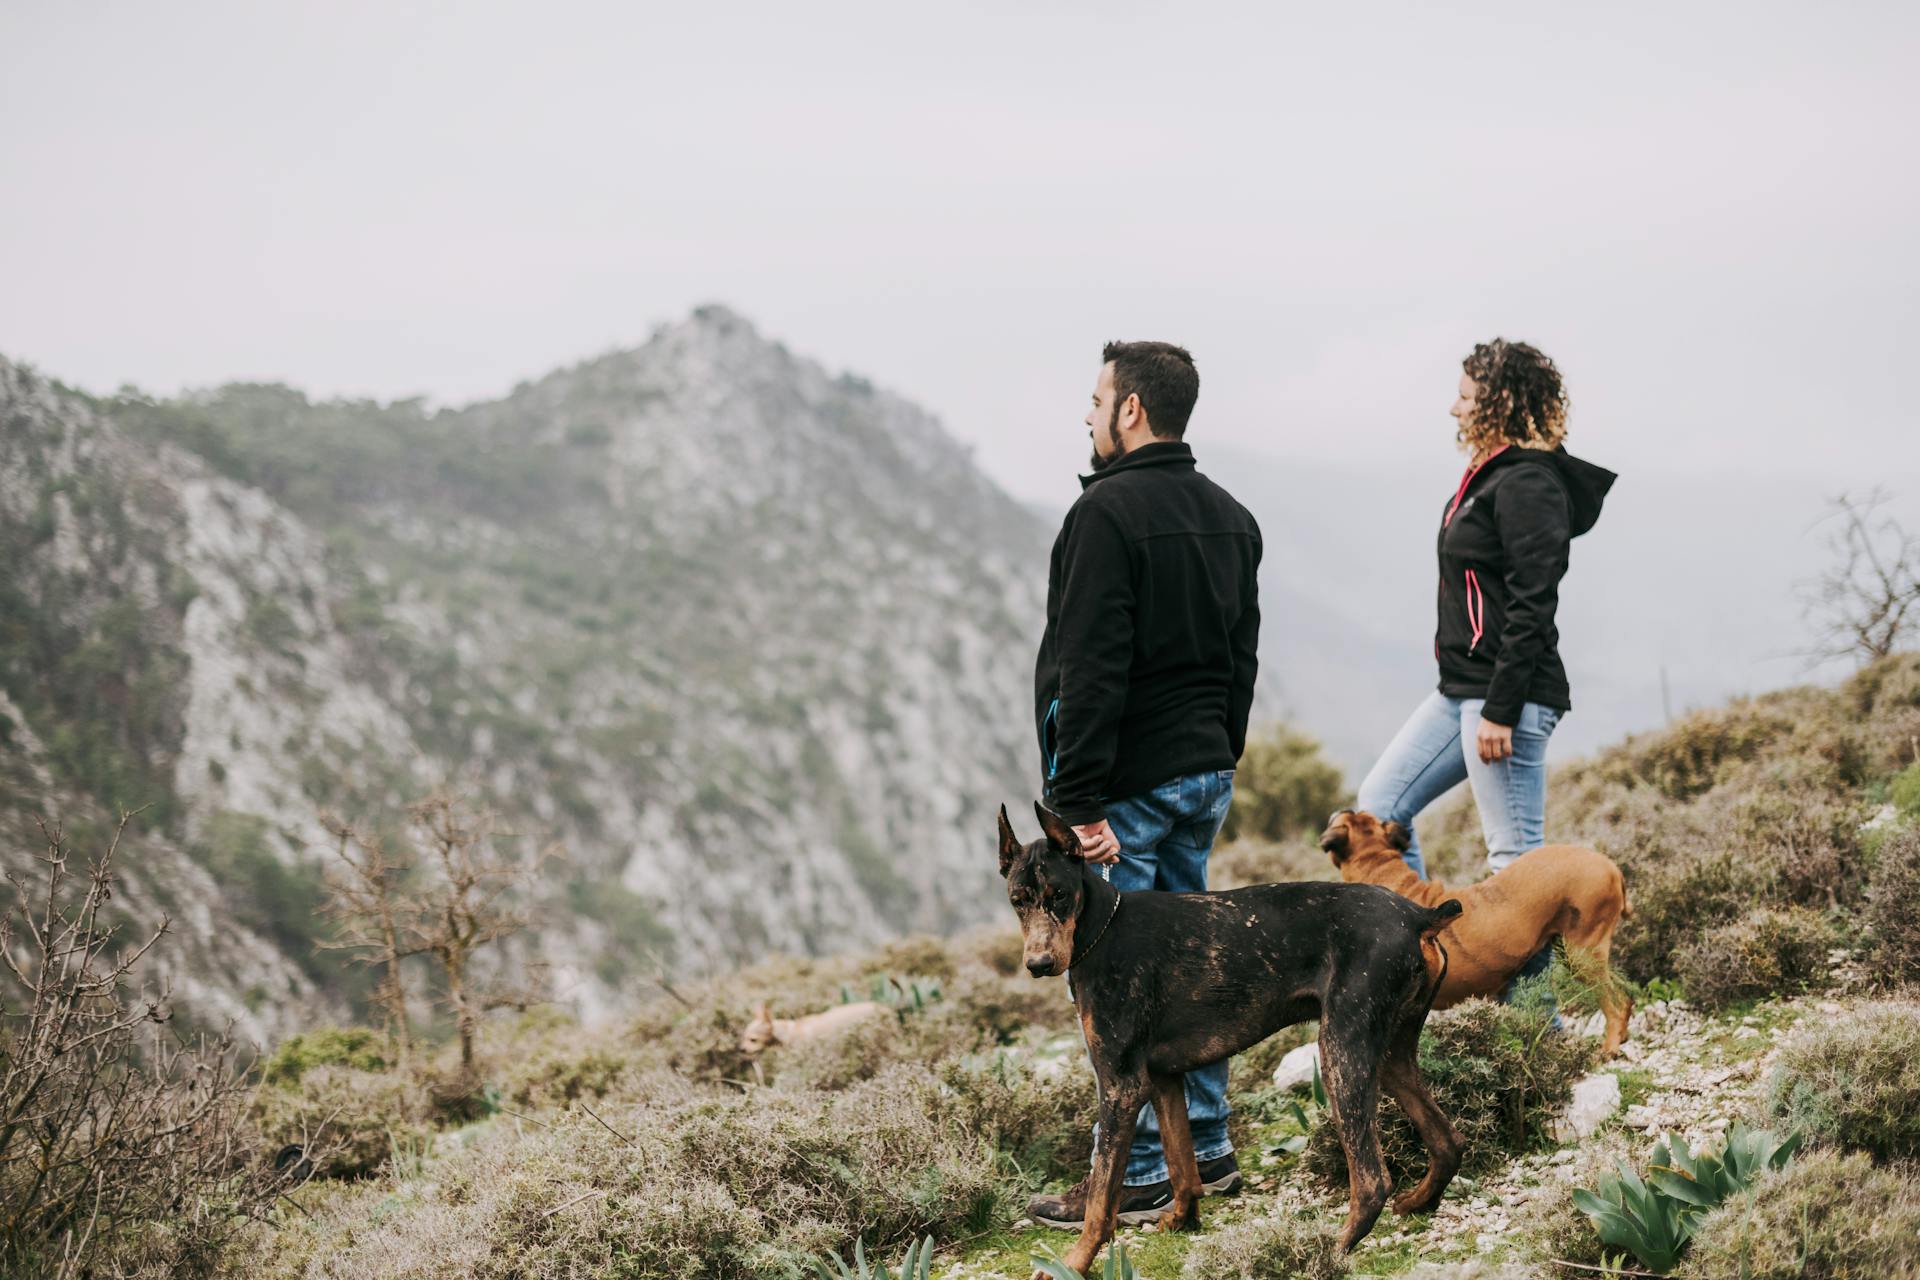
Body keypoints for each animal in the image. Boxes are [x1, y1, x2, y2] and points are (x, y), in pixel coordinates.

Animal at [998, 805, 1459, 1274]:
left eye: (1059, 895)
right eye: (1017, 900)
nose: (1038, 963)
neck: (1100, 929)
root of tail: (1417, 915)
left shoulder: (1120, 1086)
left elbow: (1101, 1200)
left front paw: (1074, 1262)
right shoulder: (1162, 1079)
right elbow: (1182, 1166)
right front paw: (1181, 1220)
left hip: (1341, 1055)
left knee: (1371, 1180)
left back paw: (1329, 1248)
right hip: (1389, 1052)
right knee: (1447, 1141)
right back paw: (1417, 1202)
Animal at [1320, 817, 1635, 1059]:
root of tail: (1608, 864)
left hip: (1581, 954)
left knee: (1616, 1005)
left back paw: (1609, 1048)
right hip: (1582, 954)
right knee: (1625, 995)